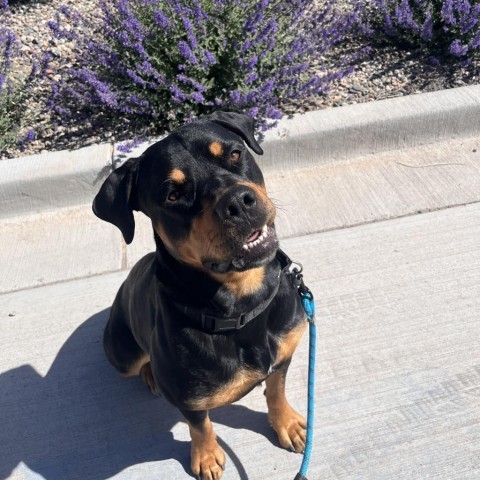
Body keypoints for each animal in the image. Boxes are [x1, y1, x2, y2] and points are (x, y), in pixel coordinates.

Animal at [92, 111, 306, 480]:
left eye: (234, 154)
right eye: (172, 195)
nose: (238, 202)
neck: (241, 302)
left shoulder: (284, 353)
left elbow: (276, 390)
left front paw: (286, 423)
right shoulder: (188, 397)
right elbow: (200, 424)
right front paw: (206, 457)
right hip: (122, 353)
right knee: (139, 363)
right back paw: (150, 374)